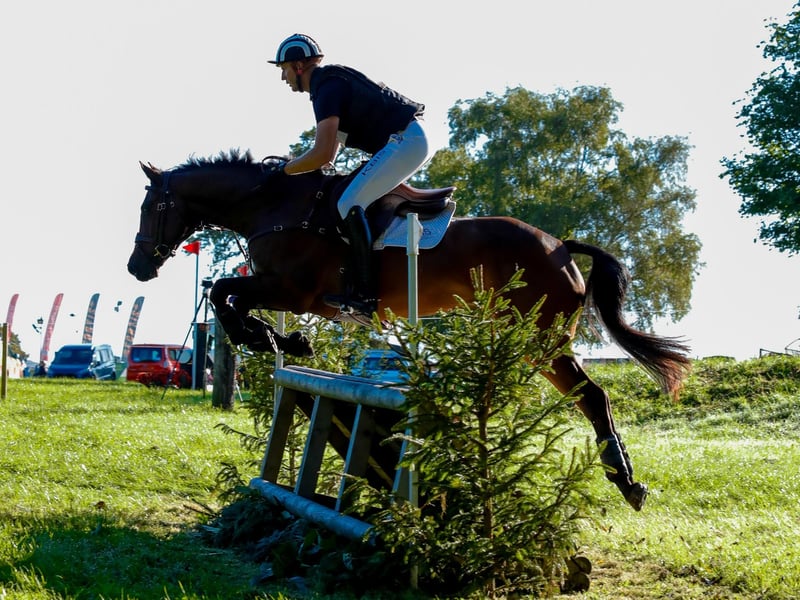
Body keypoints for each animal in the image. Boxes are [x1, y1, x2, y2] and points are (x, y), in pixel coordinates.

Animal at [127, 151, 691, 511]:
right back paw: (622, 478)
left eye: (151, 207)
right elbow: (227, 295)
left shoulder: (292, 291)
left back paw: (624, 479)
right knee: (588, 396)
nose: (138, 267)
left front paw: (275, 339)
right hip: (530, 339)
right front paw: (283, 340)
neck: (276, 208)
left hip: (539, 339)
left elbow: (226, 295)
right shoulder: (291, 294)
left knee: (592, 395)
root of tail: (560, 246)